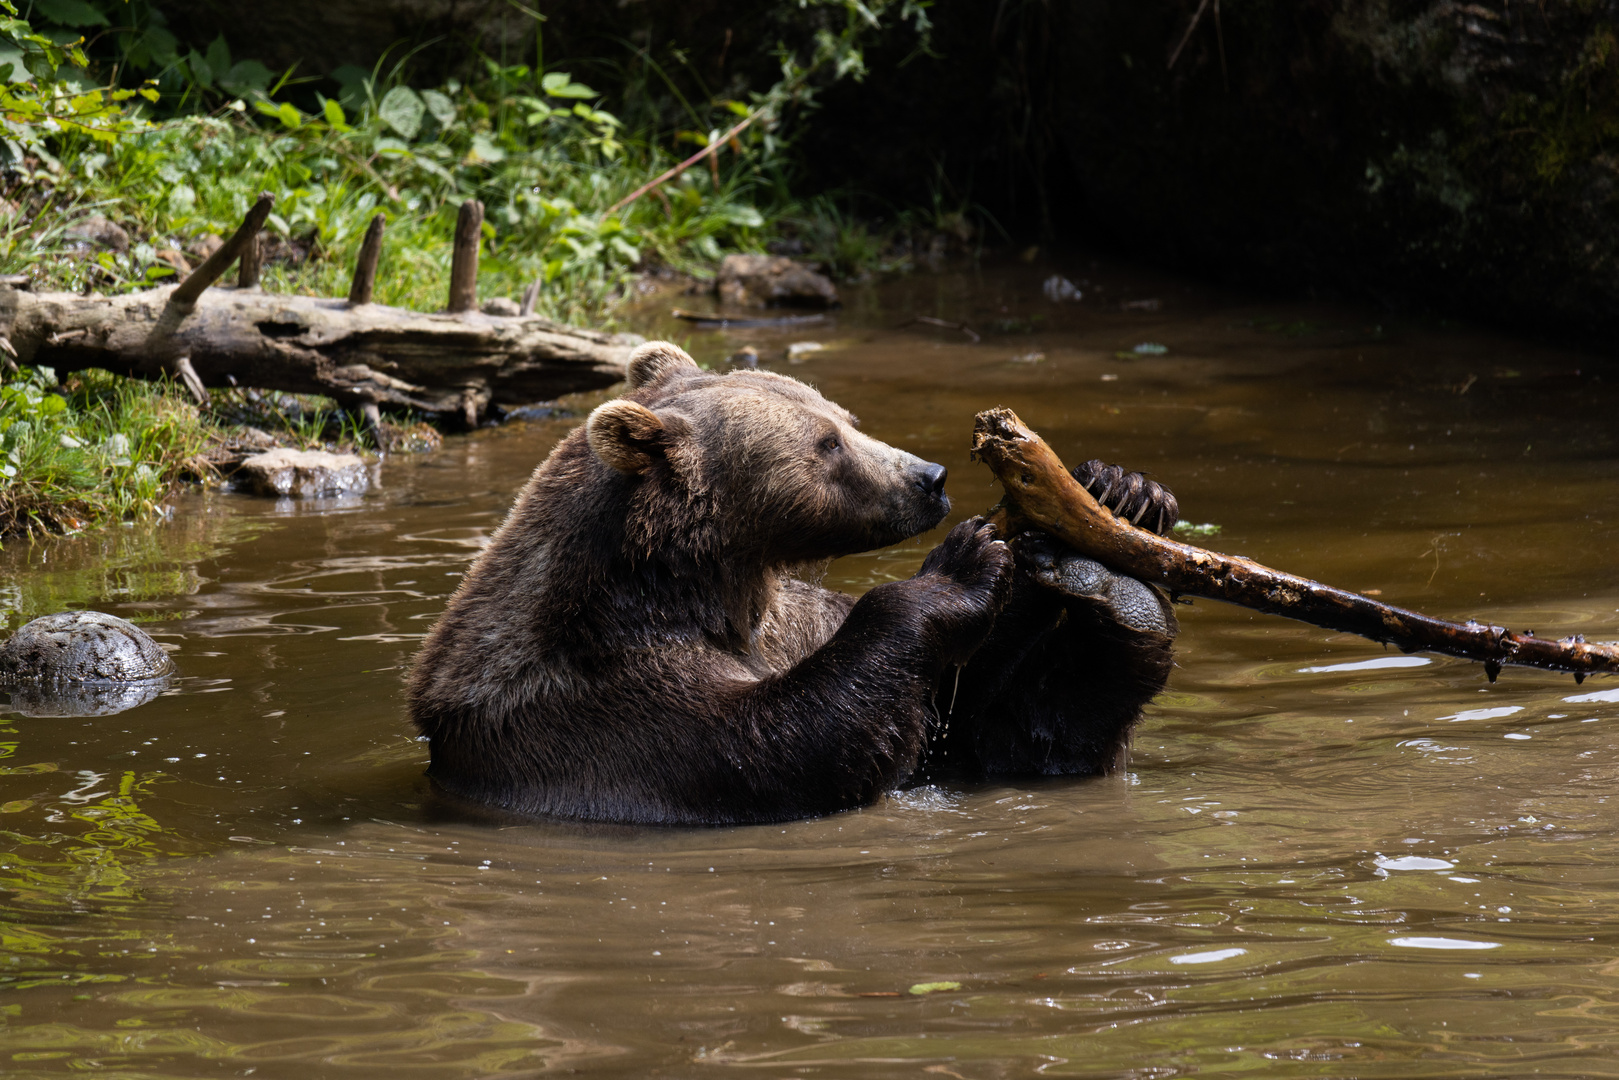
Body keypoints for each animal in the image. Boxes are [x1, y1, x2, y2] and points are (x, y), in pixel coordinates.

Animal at [401, 341, 1165, 822]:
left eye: (846, 419)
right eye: (825, 445)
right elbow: (788, 745)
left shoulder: (790, 621)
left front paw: (1118, 493)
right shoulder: (606, 708)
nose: (930, 478)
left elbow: (970, 713)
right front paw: (957, 565)